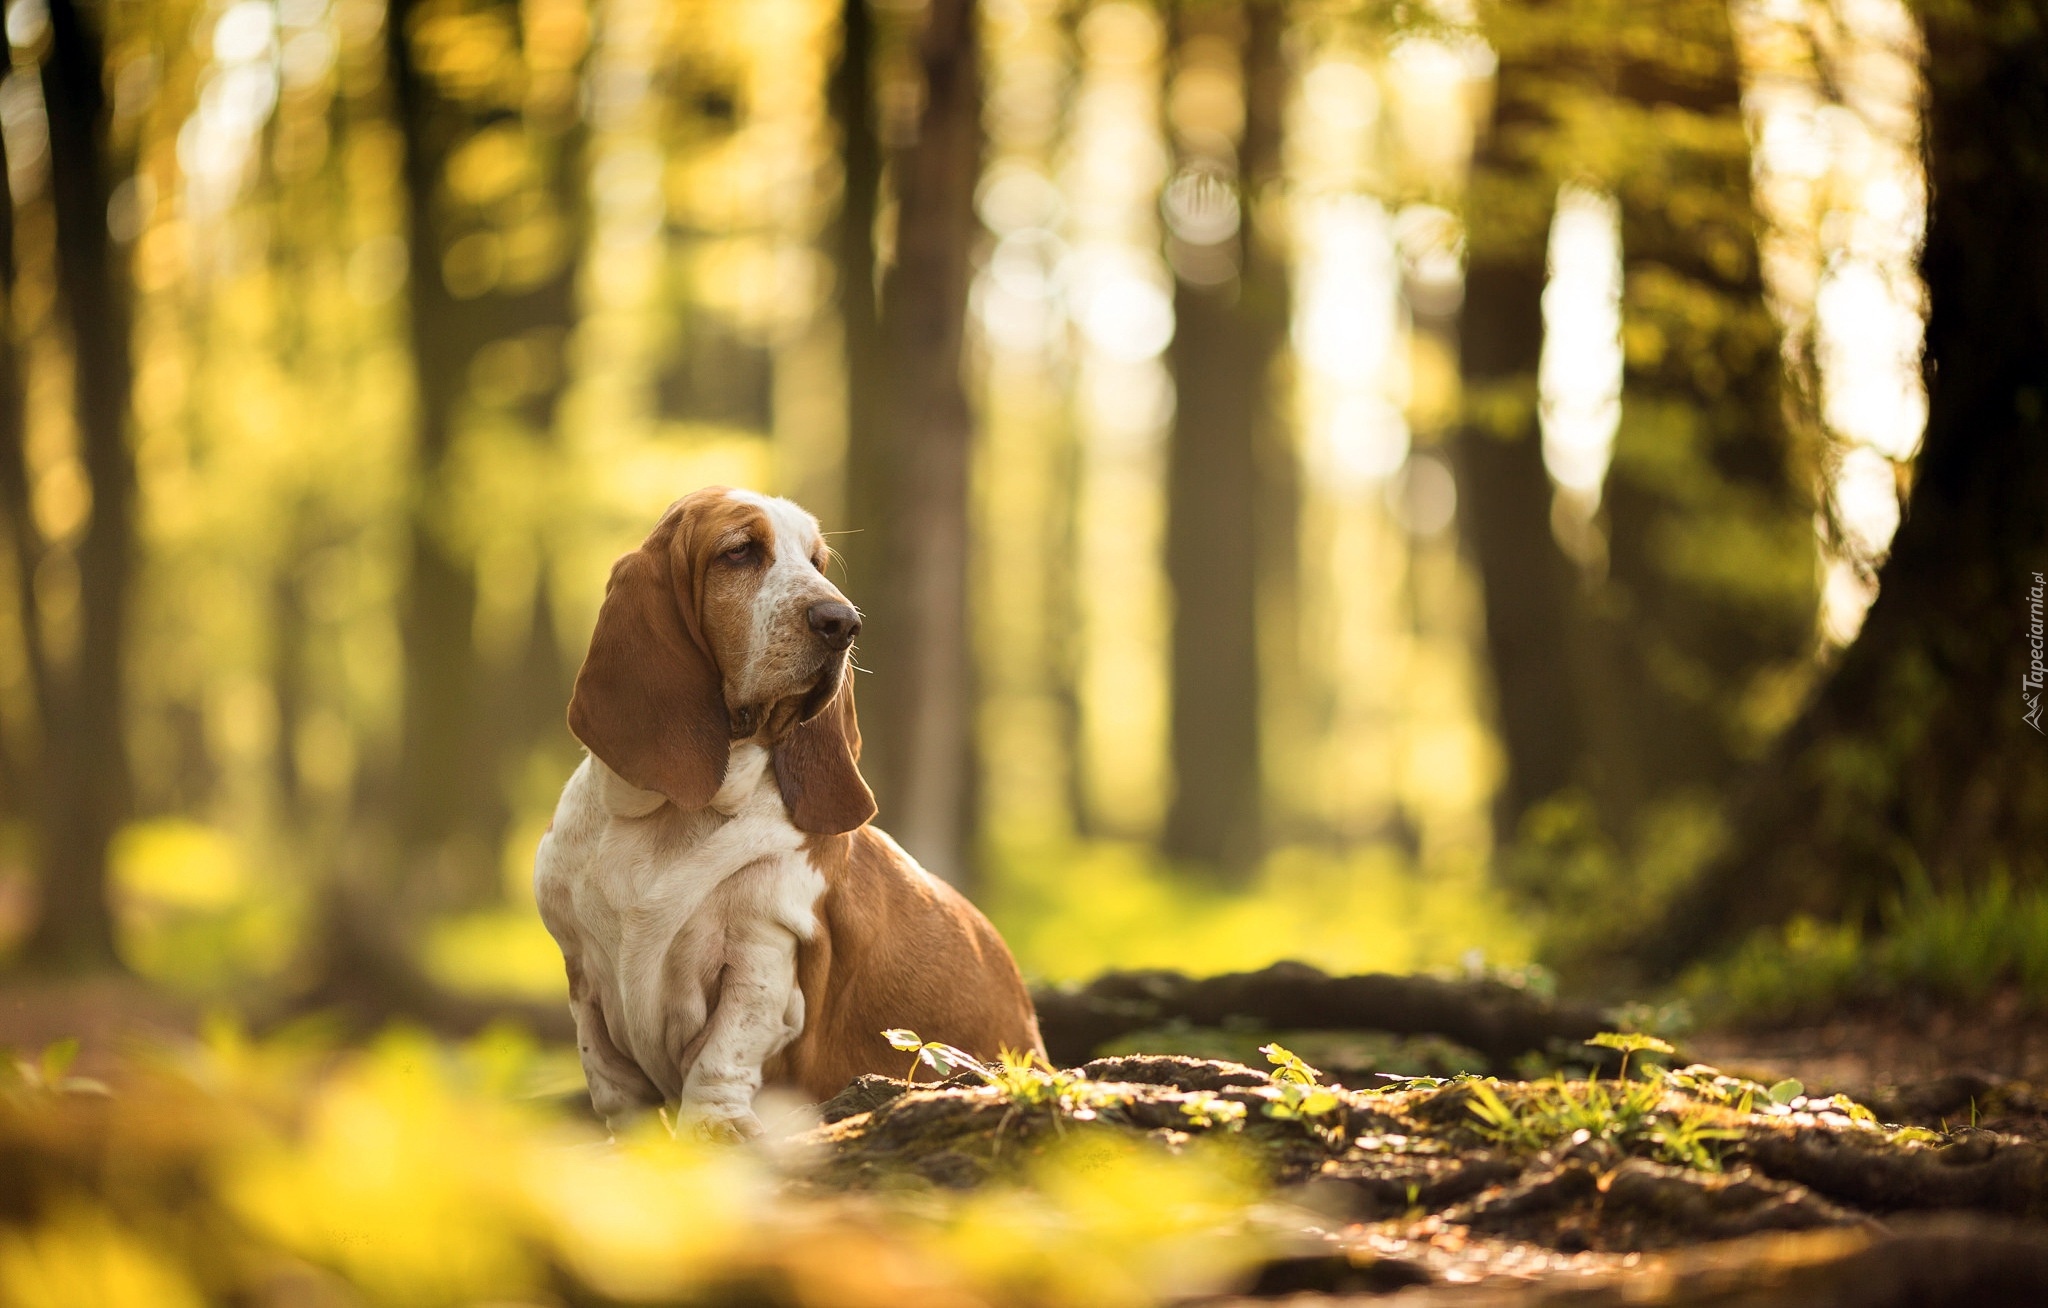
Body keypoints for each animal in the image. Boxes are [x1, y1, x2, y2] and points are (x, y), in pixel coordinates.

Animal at [532, 489, 1040, 1138]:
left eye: (818, 562)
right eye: (740, 551)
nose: (843, 622)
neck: (667, 815)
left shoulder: (762, 949)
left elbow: (722, 1055)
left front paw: (712, 1132)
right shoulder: (583, 972)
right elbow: (611, 1083)